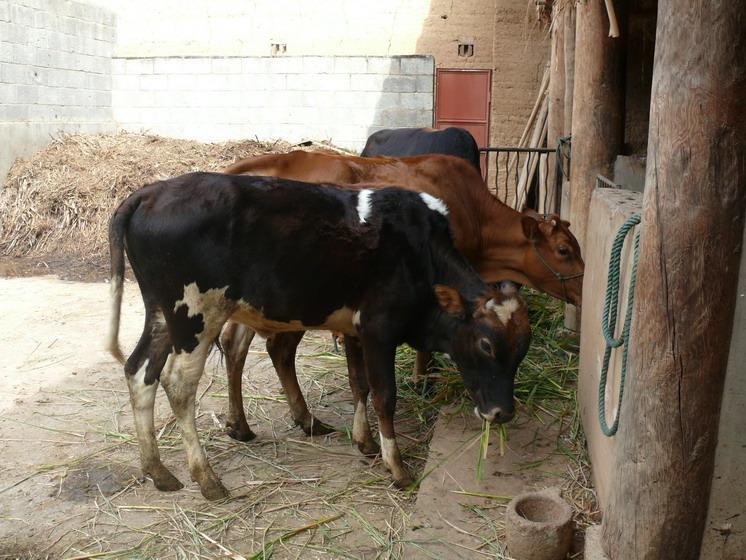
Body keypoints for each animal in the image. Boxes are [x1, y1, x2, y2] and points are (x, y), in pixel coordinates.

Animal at [107, 174, 532, 498]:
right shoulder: (379, 330)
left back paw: (158, 470)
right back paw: (207, 479)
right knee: (178, 384)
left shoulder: (355, 330)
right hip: (195, 315)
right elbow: (384, 397)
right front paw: (397, 467)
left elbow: (359, 385)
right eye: (485, 344)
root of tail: (153, 191)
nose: (503, 412)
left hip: (161, 315)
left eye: (522, 351)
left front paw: (364, 443)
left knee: (140, 372)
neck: (421, 250)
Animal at [217, 149, 580, 442]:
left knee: (234, 343)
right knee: (278, 348)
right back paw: (302, 419)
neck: (472, 210)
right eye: (564, 249)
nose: (583, 286)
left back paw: (242, 425)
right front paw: (423, 379)